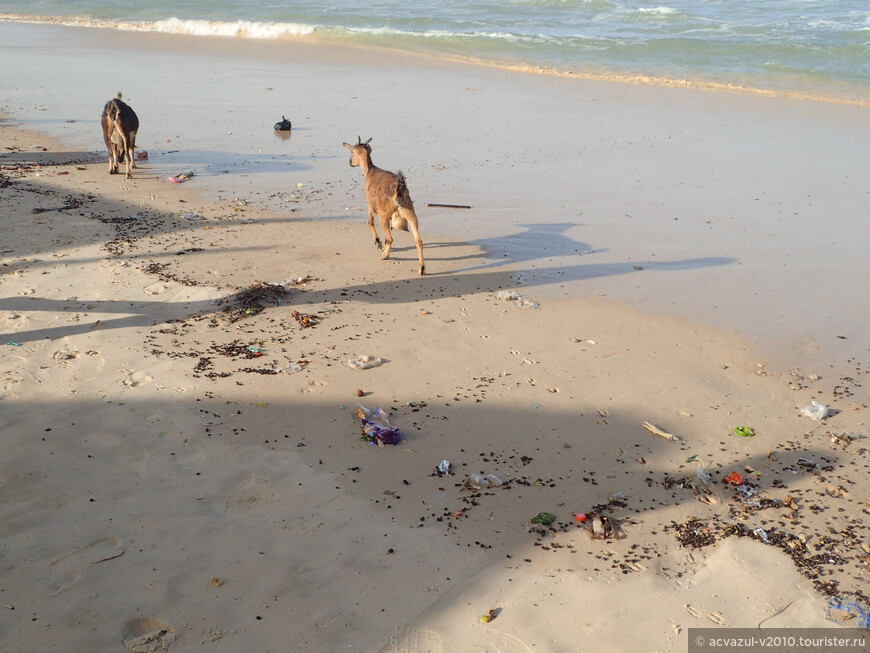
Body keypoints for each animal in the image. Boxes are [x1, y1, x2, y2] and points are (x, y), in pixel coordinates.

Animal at [342, 136, 424, 274]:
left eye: (352, 152)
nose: (350, 162)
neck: (370, 170)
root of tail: (399, 188)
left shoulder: (370, 206)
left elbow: (370, 223)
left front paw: (377, 242)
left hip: (384, 215)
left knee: (389, 237)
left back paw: (385, 255)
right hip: (410, 212)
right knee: (418, 240)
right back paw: (422, 268)